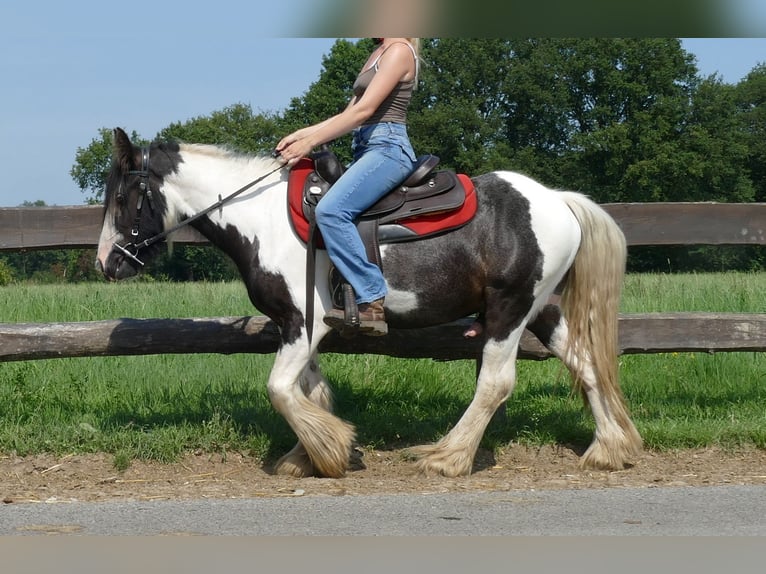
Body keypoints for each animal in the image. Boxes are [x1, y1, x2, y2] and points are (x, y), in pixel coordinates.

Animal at [94, 128, 640, 480]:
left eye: (122, 199)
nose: (106, 263)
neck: (263, 218)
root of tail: (558, 199)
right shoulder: (302, 328)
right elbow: (310, 391)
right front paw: (312, 454)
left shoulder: (302, 323)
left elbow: (280, 390)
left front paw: (328, 452)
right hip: (542, 309)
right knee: (585, 363)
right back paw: (609, 450)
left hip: (509, 308)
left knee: (496, 382)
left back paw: (448, 457)